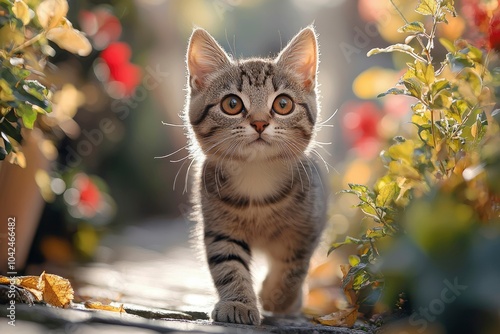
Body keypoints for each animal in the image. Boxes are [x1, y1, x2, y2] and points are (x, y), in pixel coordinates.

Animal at [186, 26, 326, 326]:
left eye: (283, 104)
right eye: (232, 104)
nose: (260, 123)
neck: (257, 173)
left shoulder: (309, 227)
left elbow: (294, 266)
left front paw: (277, 296)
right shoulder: (219, 227)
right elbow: (228, 265)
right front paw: (238, 303)